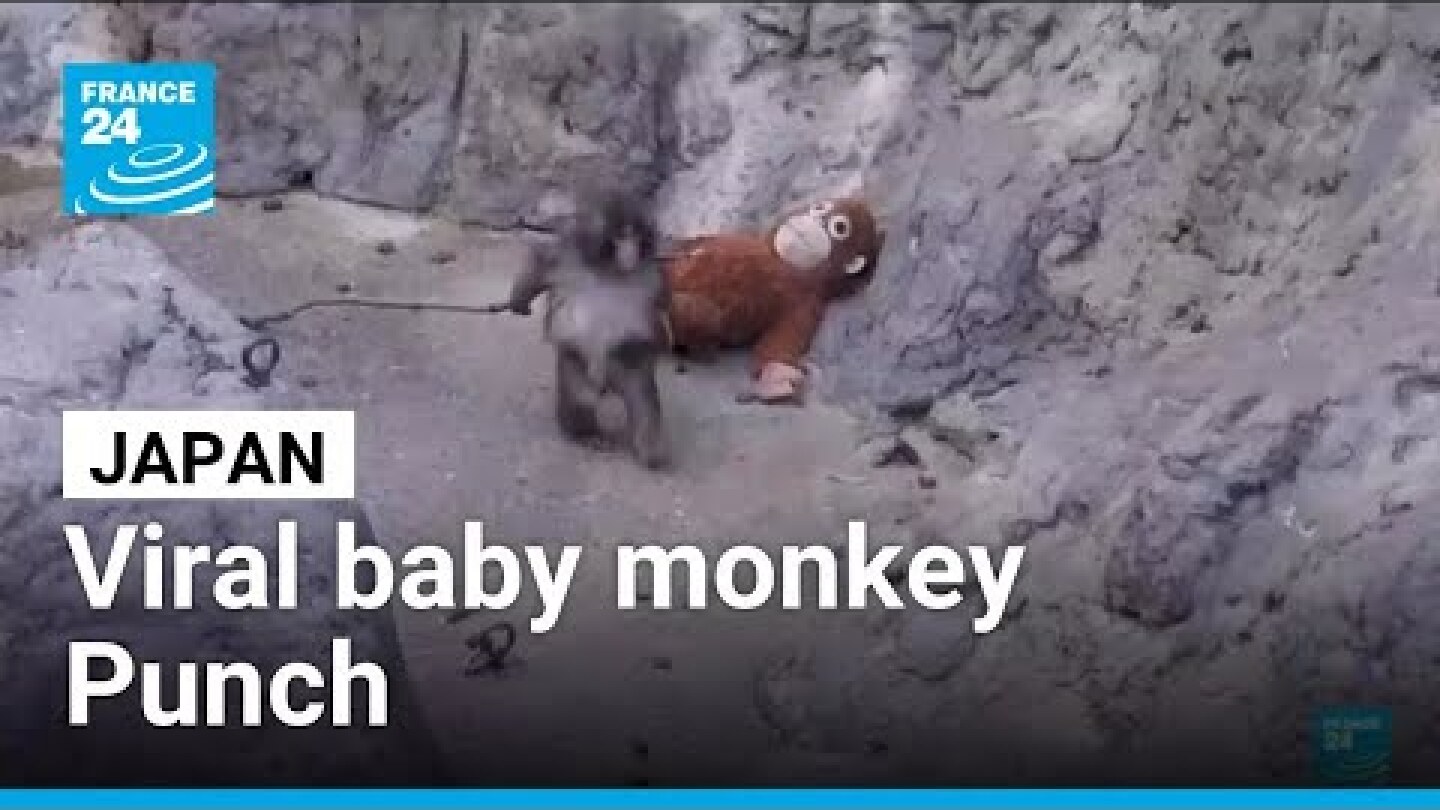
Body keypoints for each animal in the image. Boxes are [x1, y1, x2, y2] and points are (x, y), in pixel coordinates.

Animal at [505, 190, 673, 471]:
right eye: (620, 236)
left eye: (637, 235)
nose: (632, 251)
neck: (609, 270)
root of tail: (605, 380)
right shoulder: (566, 257)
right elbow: (540, 269)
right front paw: (518, 301)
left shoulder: (653, 271)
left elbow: (660, 307)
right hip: (577, 363)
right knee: (580, 396)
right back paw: (585, 434)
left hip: (622, 364)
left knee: (643, 400)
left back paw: (649, 450)